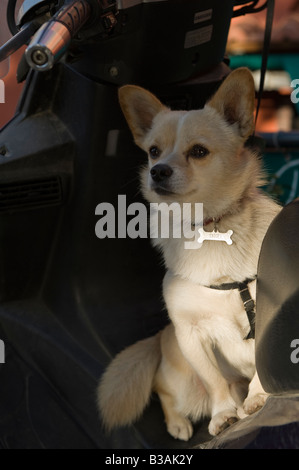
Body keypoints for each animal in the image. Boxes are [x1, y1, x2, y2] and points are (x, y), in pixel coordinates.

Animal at [98, 68, 282, 438]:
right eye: (153, 151)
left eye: (198, 151)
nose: (158, 171)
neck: (210, 229)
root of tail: (160, 337)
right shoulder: (191, 334)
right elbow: (213, 382)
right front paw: (223, 414)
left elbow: (259, 363)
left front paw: (258, 396)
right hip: (182, 380)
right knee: (163, 389)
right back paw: (179, 424)